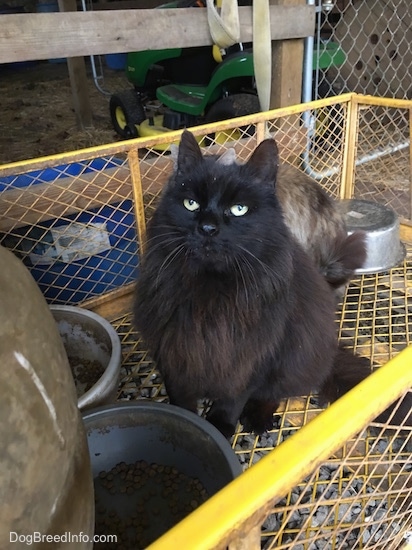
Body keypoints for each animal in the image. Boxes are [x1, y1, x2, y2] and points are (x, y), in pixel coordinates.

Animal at [135, 130, 374, 440]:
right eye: (191, 204)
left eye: (239, 209)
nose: (208, 228)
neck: (212, 291)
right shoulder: (173, 350)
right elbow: (181, 400)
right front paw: (186, 426)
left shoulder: (254, 355)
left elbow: (234, 399)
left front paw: (220, 427)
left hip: (294, 354)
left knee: (274, 393)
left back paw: (257, 419)